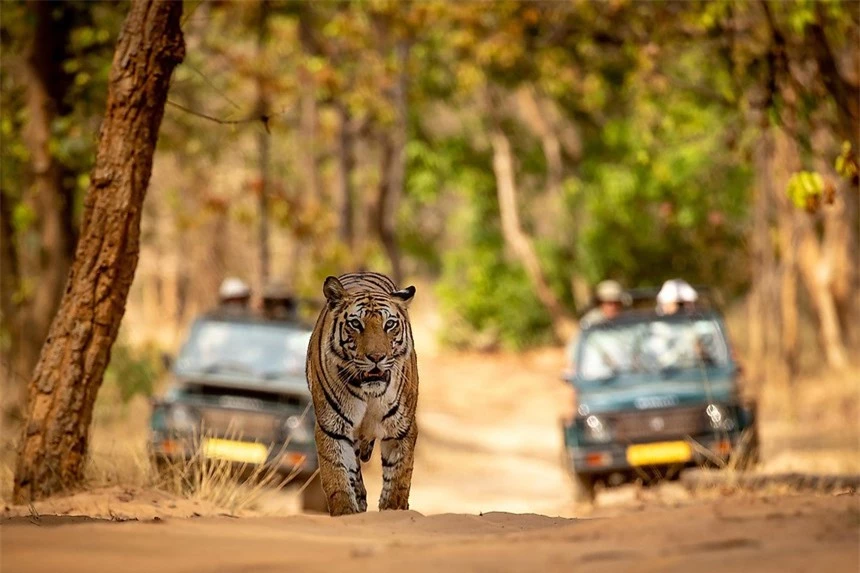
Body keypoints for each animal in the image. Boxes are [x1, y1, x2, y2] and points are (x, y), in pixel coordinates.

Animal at [306, 270, 420, 516]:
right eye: (356, 324)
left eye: (389, 324)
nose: (376, 357)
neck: (369, 394)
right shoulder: (332, 428)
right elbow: (337, 477)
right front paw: (346, 512)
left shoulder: (401, 428)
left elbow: (398, 478)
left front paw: (393, 510)